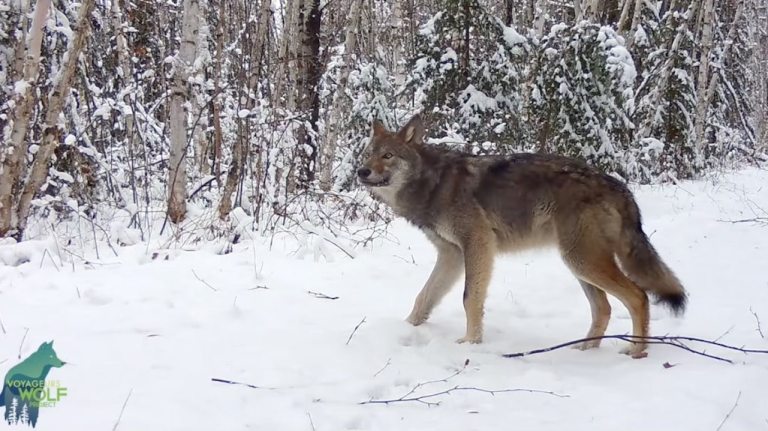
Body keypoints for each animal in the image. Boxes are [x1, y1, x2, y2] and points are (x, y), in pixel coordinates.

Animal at [356, 114, 688, 358]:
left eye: (388, 155)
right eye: (368, 154)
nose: (361, 171)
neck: (433, 184)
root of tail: (619, 186)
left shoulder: (477, 244)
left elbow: (469, 298)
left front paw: (470, 343)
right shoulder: (451, 255)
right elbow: (423, 297)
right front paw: (406, 329)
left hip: (583, 261)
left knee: (638, 296)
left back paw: (637, 352)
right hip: (578, 264)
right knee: (604, 308)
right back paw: (585, 350)